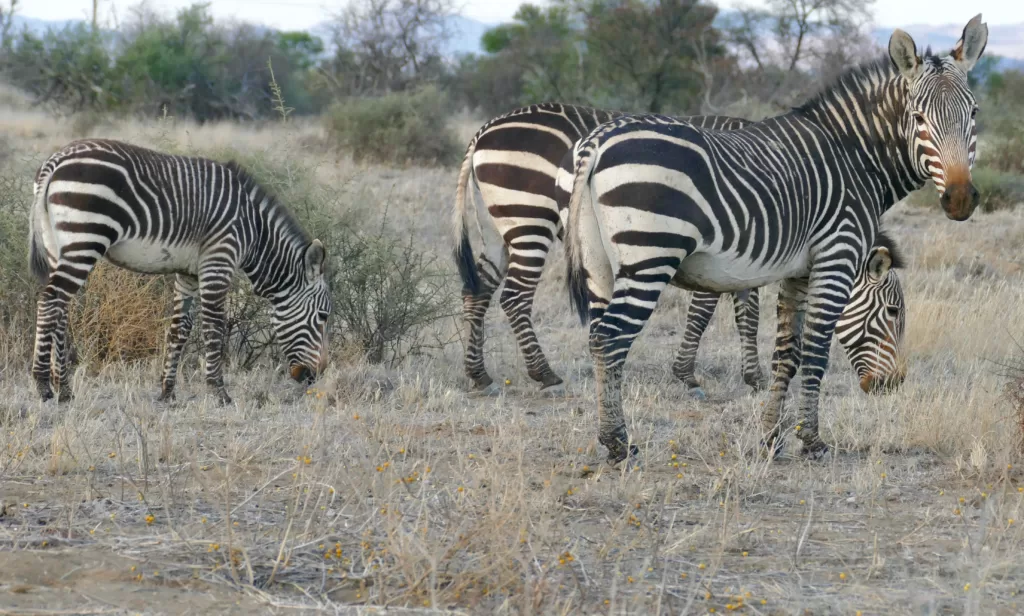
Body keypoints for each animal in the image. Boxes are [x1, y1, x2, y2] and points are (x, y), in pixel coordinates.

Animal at [27, 141, 331, 405]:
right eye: (323, 316)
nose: (316, 376)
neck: (255, 230)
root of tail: (57, 159)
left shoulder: (189, 273)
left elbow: (180, 328)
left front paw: (167, 391)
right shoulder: (218, 260)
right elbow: (214, 327)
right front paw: (219, 392)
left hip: (59, 245)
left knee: (60, 308)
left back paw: (65, 390)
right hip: (86, 237)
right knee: (49, 301)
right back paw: (43, 385)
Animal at [452, 104, 909, 399]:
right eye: (892, 312)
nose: (894, 384)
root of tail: (484, 129)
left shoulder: (748, 252)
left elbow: (746, 316)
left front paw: (753, 376)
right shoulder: (722, 243)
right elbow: (706, 312)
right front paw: (687, 375)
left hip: (497, 227)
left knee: (477, 291)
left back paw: (478, 374)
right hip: (530, 218)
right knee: (514, 297)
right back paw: (543, 373)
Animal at [565, 15, 987, 460]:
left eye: (974, 113)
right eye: (918, 118)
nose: (960, 198)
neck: (857, 160)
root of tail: (598, 140)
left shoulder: (798, 272)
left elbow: (787, 354)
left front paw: (771, 437)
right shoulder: (836, 257)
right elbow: (816, 353)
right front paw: (812, 441)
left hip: (599, 264)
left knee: (596, 338)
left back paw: (610, 435)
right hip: (649, 255)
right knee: (611, 338)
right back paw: (618, 442)